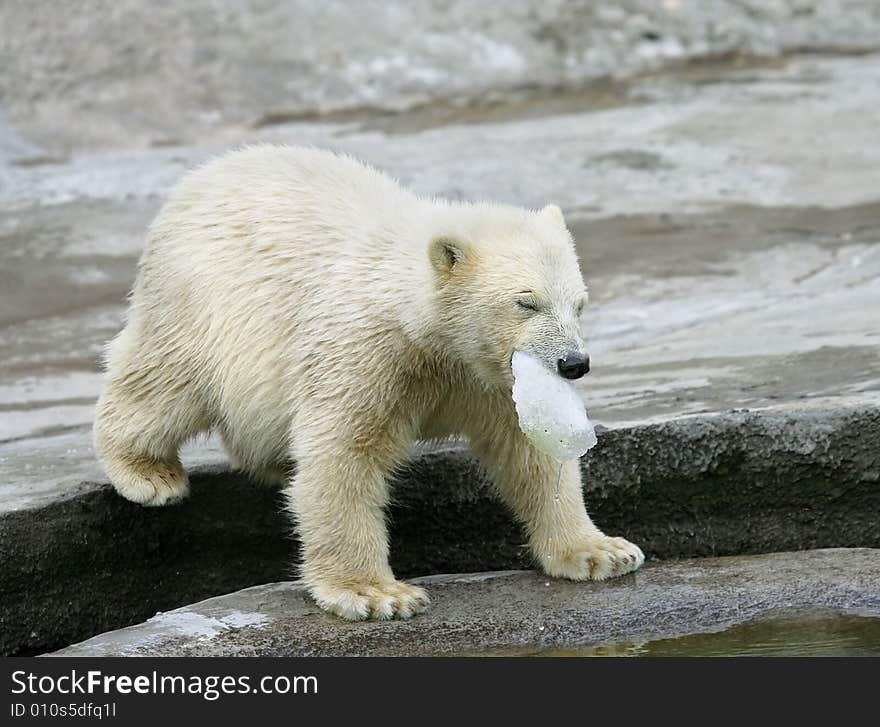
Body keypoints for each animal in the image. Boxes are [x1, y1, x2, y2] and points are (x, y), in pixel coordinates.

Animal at [94, 146, 648, 620]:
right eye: (526, 302)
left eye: (579, 304)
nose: (574, 363)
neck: (426, 332)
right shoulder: (368, 353)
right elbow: (343, 455)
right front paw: (377, 594)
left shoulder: (487, 377)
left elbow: (531, 452)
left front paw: (602, 551)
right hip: (199, 302)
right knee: (166, 382)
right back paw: (148, 474)